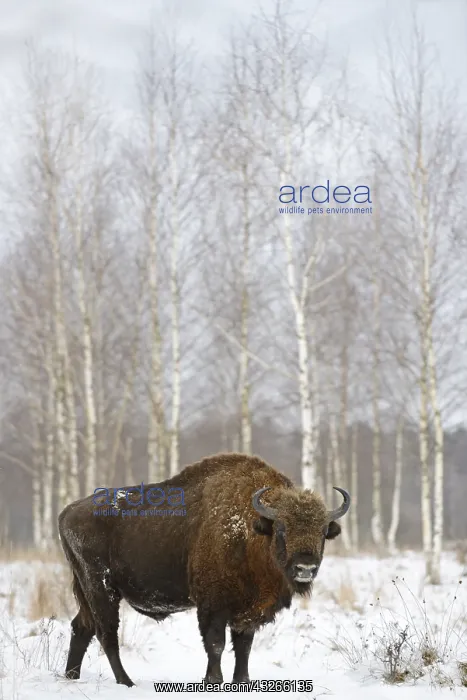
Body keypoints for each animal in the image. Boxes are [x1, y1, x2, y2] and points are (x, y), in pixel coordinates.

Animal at [58, 452, 350, 687]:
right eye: (281, 529)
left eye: (323, 532)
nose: (305, 568)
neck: (251, 529)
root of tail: (67, 512)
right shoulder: (213, 605)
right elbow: (216, 645)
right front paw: (213, 680)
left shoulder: (248, 611)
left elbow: (243, 647)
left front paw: (242, 681)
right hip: (101, 588)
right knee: (106, 633)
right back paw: (126, 682)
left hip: (88, 591)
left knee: (81, 627)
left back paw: (72, 677)